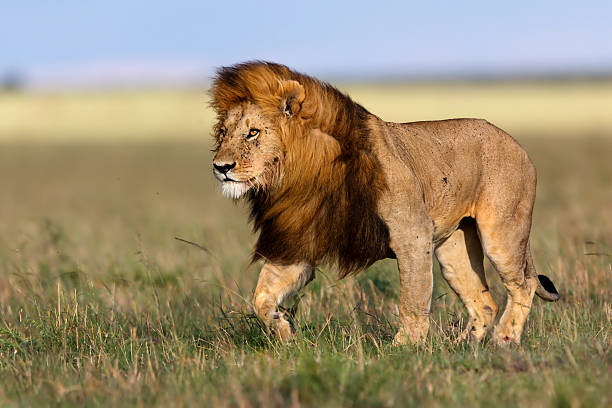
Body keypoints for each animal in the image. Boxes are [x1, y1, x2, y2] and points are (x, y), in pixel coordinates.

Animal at [210, 62, 560, 346]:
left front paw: (405, 348)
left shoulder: (413, 234)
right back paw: (464, 346)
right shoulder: (301, 240)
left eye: (253, 133)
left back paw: (504, 340)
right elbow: (261, 297)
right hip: (454, 247)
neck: (301, 174)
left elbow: (413, 300)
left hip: (501, 234)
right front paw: (284, 332)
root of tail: (515, 142)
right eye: (224, 132)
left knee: (524, 284)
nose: (220, 167)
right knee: (485, 302)